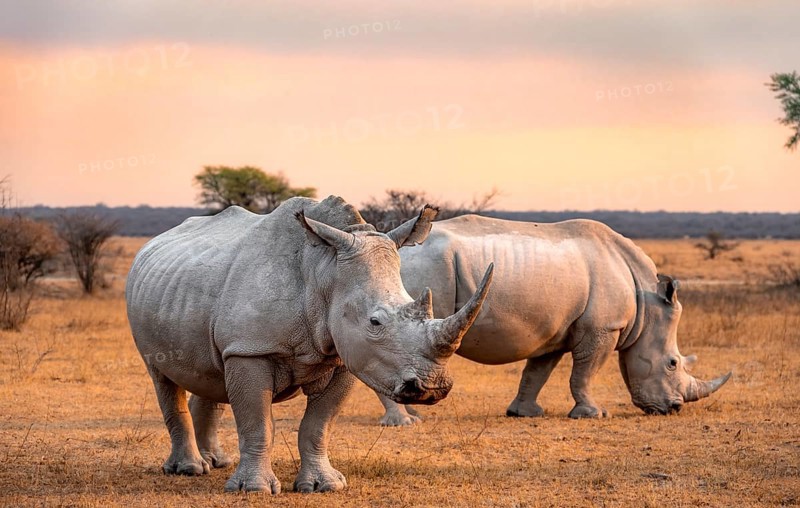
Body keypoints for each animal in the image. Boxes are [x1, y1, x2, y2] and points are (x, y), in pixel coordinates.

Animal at [125, 196, 493, 493]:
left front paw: (324, 485)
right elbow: (258, 423)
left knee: (211, 373)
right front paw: (254, 489)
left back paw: (217, 462)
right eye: (375, 323)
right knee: (162, 377)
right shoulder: (251, 349)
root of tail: (153, 243)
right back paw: (189, 470)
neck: (324, 271)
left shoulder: (343, 357)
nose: (432, 389)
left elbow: (318, 425)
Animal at [376, 214, 731, 425]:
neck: (646, 305)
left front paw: (523, 413)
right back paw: (404, 421)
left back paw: (411, 412)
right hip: (421, 271)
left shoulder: (555, 331)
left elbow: (537, 372)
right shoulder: (603, 328)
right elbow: (585, 373)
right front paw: (594, 414)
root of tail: (392, 243)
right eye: (673, 363)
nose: (675, 408)